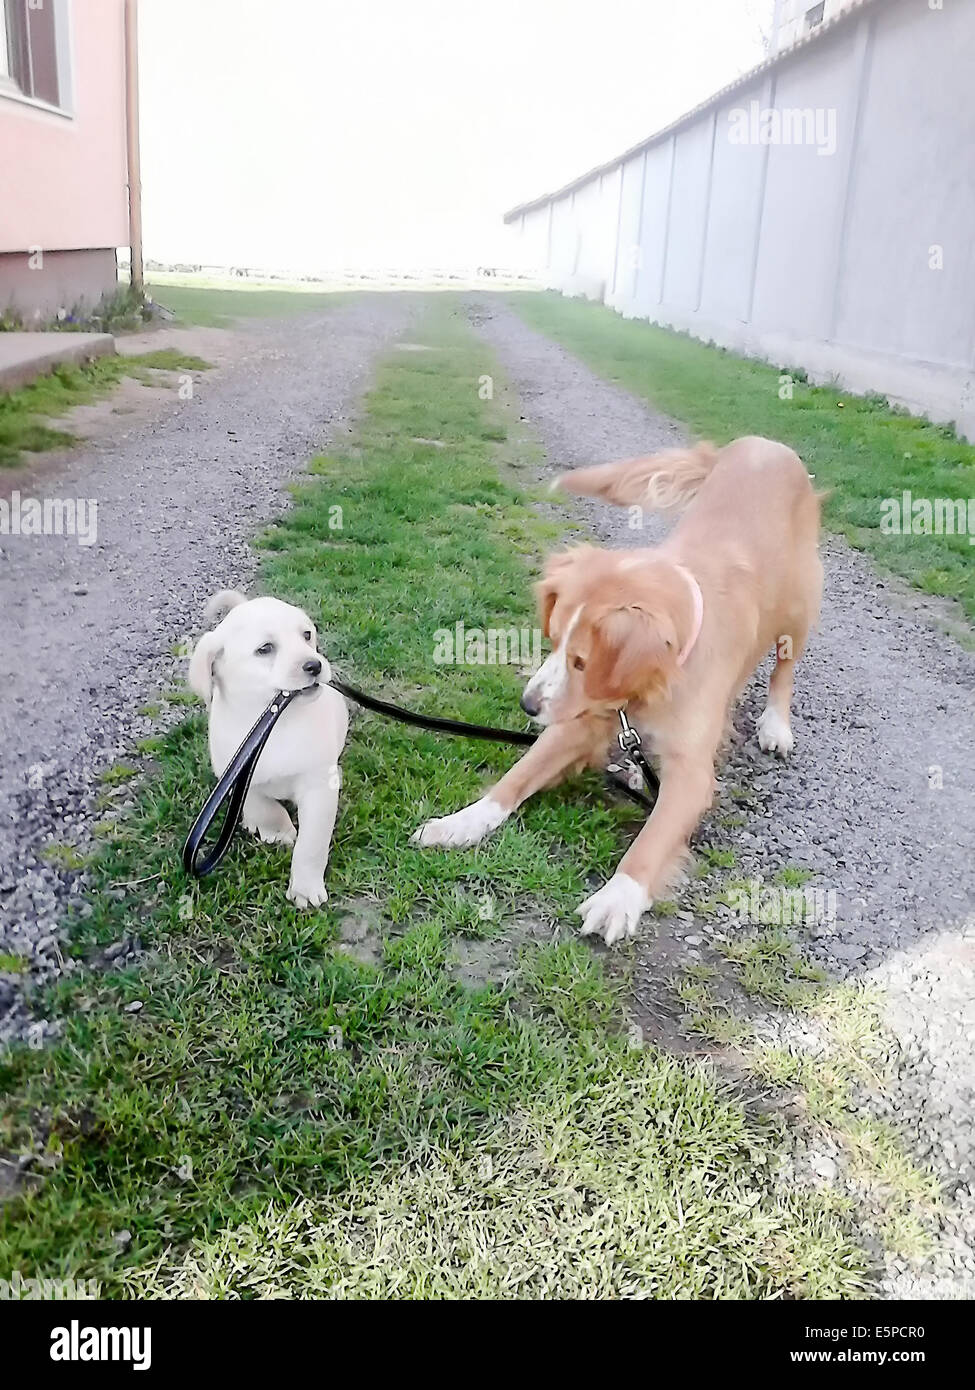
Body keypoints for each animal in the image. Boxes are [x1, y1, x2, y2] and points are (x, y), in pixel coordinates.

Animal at [184, 589, 346, 906]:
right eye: (265, 649)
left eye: (306, 635)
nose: (315, 665)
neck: (274, 720)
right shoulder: (236, 772)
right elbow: (261, 806)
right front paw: (277, 831)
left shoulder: (319, 786)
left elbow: (312, 842)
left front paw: (305, 887)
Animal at [411, 436, 823, 945]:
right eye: (554, 642)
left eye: (582, 661)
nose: (527, 706)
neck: (653, 684)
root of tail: (763, 442)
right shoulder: (580, 720)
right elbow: (517, 777)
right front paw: (461, 822)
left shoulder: (691, 774)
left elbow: (652, 839)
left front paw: (617, 897)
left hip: (799, 606)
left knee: (784, 668)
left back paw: (776, 725)